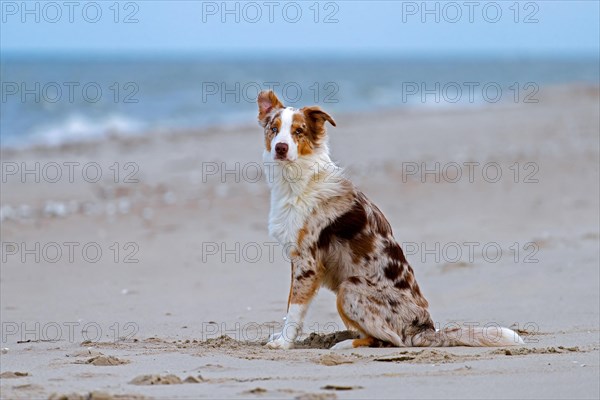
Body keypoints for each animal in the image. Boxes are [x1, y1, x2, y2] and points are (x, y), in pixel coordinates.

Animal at [258, 91, 524, 350]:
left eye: (298, 131)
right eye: (274, 129)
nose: (280, 148)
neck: (296, 180)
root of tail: (424, 329)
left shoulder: (307, 262)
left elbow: (295, 308)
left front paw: (284, 342)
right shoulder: (297, 259)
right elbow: (289, 303)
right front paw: (280, 336)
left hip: (349, 287)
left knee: (391, 339)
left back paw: (344, 344)